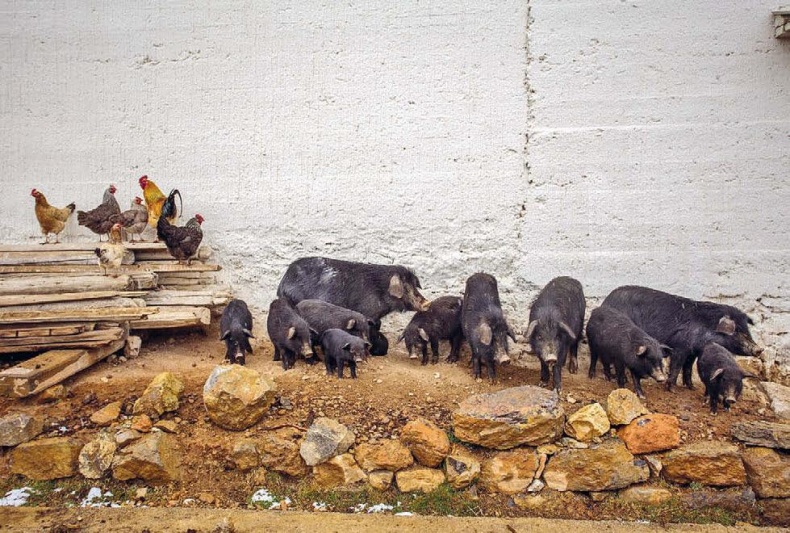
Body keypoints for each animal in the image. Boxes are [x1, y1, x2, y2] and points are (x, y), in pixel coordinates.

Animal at [604, 282, 764, 390]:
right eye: (738, 332)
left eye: (748, 330)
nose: (759, 349)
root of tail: (607, 300)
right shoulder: (680, 346)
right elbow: (676, 366)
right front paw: (671, 389)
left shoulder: (693, 352)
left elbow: (688, 368)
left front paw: (691, 387)